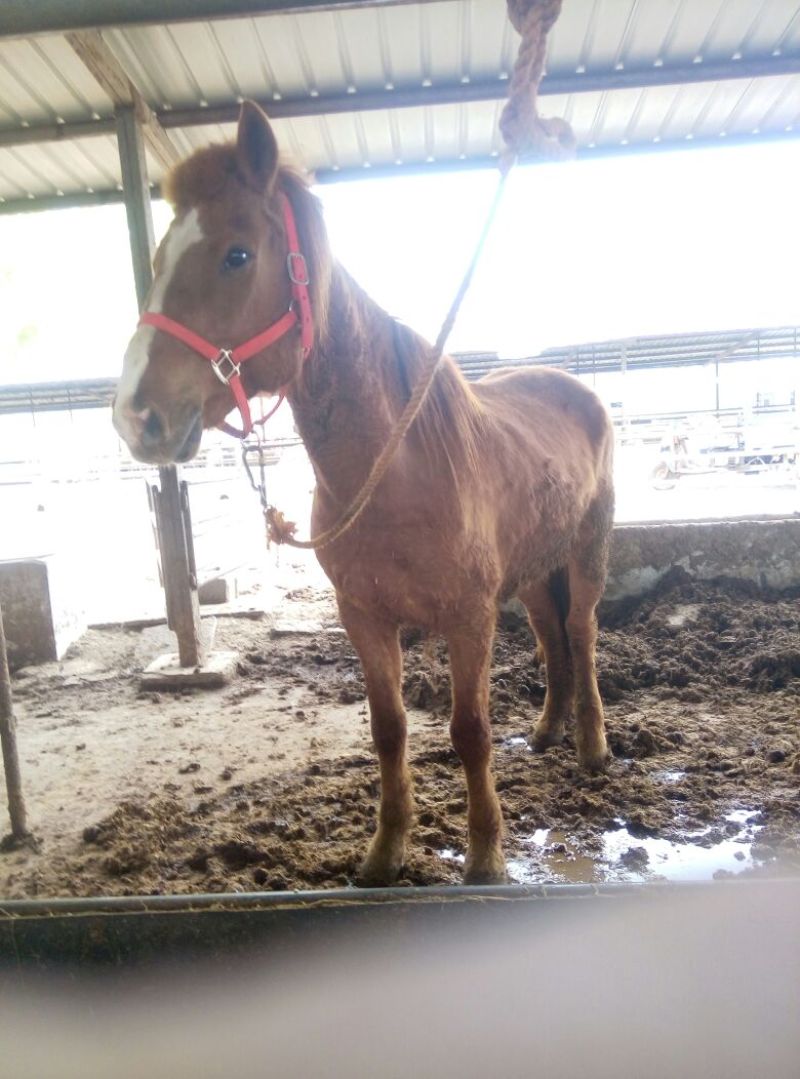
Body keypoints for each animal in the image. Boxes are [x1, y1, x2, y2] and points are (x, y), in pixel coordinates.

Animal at [113, 102, 614, 886]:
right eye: (158, 261)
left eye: (237, 255)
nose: (137, 416)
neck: (395, 471)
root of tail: (576, 390)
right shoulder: (364, 616)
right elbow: (389, 728)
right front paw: (384, 852)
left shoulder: (470, 618)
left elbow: (470, 730)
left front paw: (486, 855)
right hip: (534, 571)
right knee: (551, 634)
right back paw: (547, 730)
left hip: (588, 552)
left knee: (583, 632)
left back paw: (592, 747)